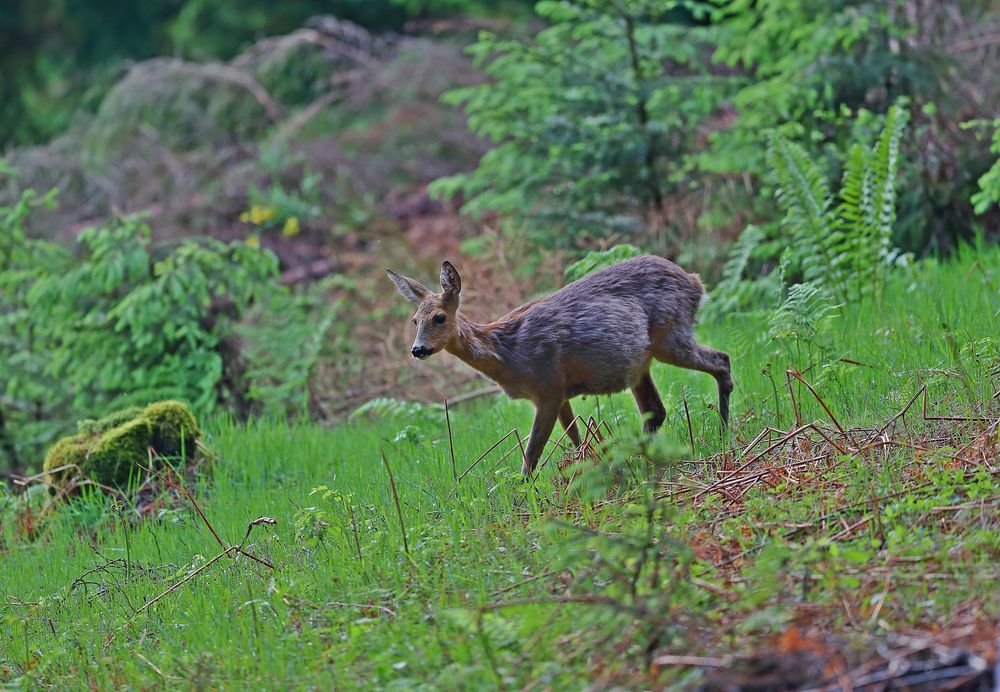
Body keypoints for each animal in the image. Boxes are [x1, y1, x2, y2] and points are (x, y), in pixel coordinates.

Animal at [386, 255, 732, 476]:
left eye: (439, 317)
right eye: (415, 320)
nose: (417, 349)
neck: (507, 353)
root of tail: (694, 282)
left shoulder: (548, 386)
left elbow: (531, 455)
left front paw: (524, 500)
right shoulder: (559, 392)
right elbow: (576, 437)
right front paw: (595, 467)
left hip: (671, 336)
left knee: (722, 361)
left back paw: (723, 433)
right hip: (639, 363)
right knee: (656, 410)